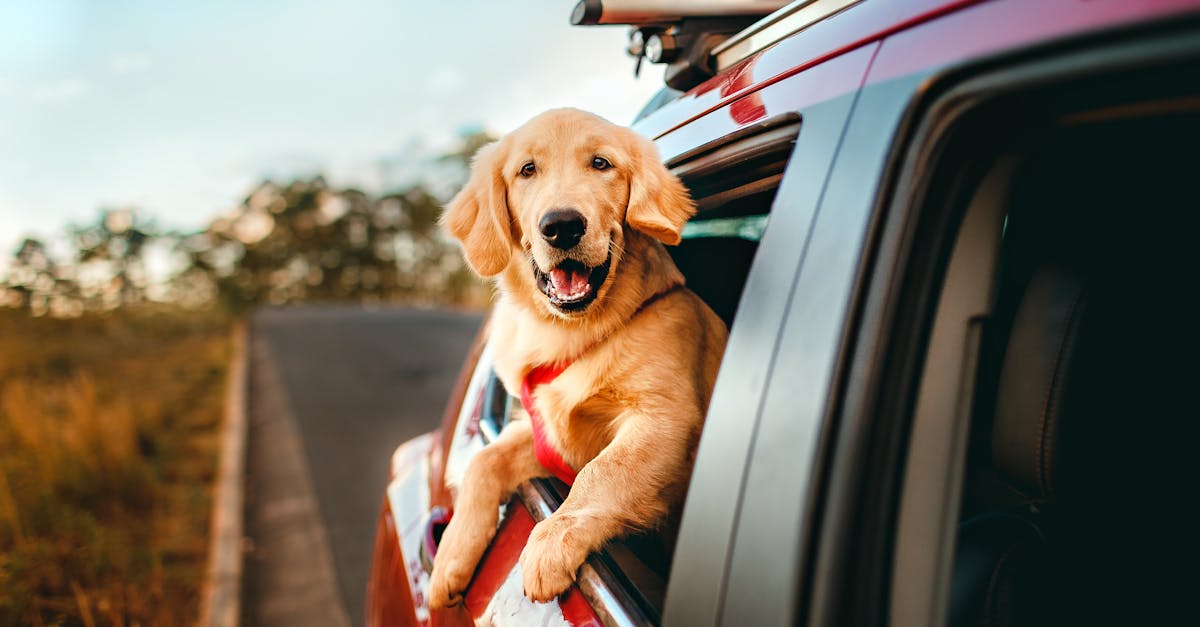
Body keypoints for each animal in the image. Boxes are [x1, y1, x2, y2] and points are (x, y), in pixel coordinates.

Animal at [432, 106, 729, 605]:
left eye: (601, 164)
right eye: (527, 170)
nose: (562, 225)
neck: (577, 332)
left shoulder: (667, 417)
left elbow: (603, 471)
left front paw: (551, 541)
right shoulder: (545, 431)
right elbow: (484, 461)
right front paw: (450, 557)